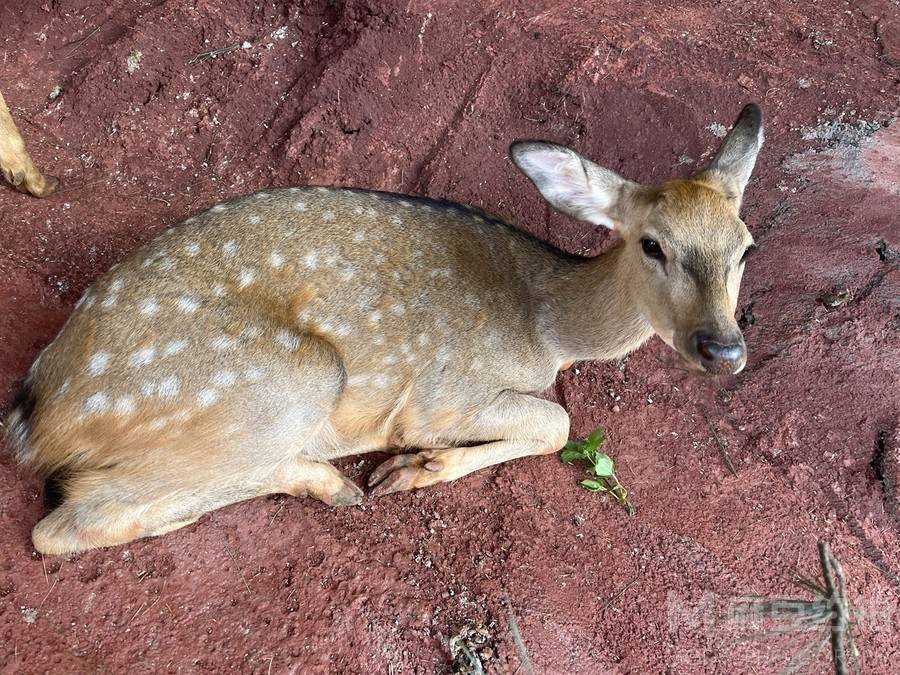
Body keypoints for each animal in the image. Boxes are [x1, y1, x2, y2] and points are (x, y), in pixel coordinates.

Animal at [3, 103, 764, 552]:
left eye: (746, 248)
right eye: (653, 244)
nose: (723, 348)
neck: (547, 324)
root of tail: (34, 418)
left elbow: (555, 421)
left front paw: (416, 467)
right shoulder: (440, 396)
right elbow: (557, 423)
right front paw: (417, 465)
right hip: (283, 380)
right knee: (60, 524)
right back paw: (325, 480)